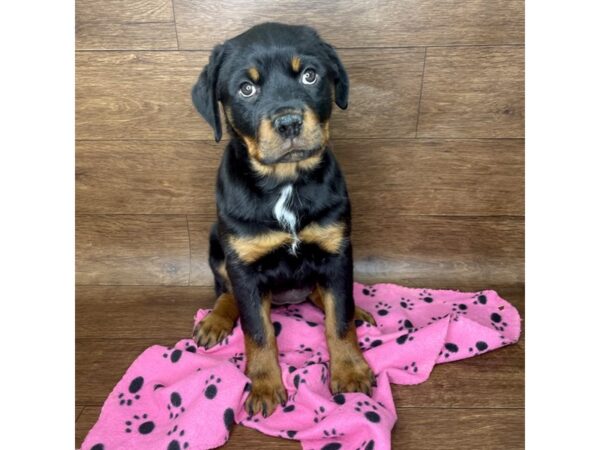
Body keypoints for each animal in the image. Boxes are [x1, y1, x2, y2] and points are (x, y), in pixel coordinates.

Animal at [190, 22, 376, 418]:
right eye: (247, 88)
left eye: (310, 76)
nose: (289, 122)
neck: (285, 183)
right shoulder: (244, 265)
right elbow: (257, 332)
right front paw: (264, 387)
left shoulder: (337, 251)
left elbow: (339, 319)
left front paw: (350, 371)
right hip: (217, 244)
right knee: (227, 292)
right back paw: (216, 319)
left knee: (328, 296)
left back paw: (356, 310)